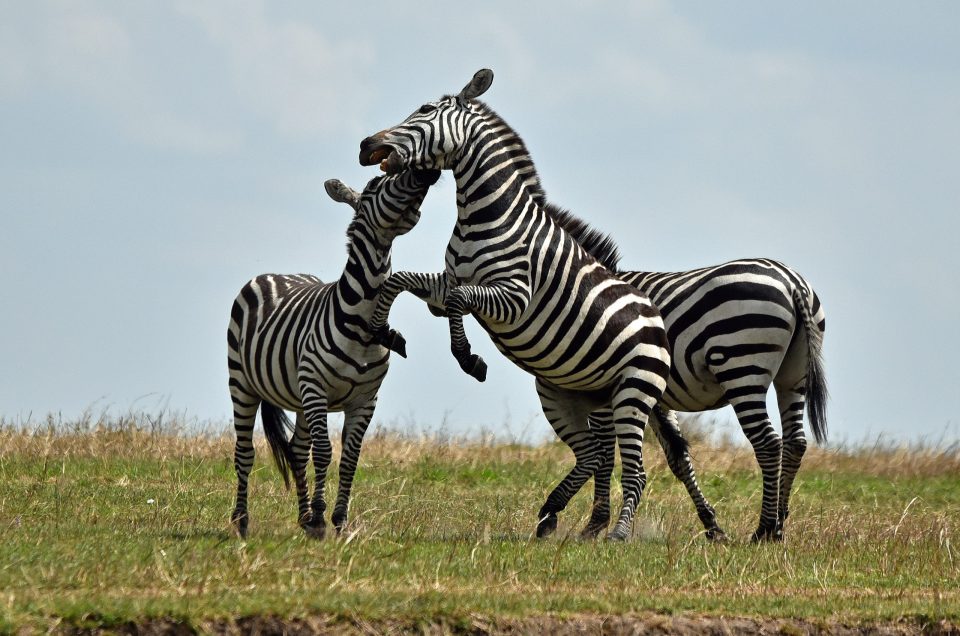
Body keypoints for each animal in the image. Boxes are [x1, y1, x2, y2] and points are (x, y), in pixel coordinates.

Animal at [226, 168, 440, 538]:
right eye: (376, 185)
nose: (427, 171)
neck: (363, 323)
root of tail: (275, 272)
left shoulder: (366, 399)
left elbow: (350, 457)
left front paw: (336, 520)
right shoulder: (316, 389)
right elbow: (325, 452)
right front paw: (320, 515)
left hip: (297, 397)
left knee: (298, 450)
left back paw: (302, 519)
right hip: (242, 382)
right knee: (245, 452)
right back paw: (242, 521)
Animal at [359, 69, 673, 541]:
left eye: (426, 110)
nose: (365, 145)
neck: (484, 215)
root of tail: (657, 319)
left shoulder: (513, 296)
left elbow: (459, 302)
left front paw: (468, 358)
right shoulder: (447, 283)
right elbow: (400, 282)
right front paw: (384, 332)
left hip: (633, 393)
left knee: (635, 471)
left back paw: (617, 535)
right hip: (565, 394)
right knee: (592, 456)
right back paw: (551, 515)